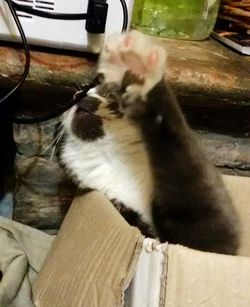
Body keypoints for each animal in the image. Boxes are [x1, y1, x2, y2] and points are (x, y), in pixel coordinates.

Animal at [60, 29, 240, 255]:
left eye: (105, 91)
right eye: (78, 92)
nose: (80, 96)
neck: (115, 157)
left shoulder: (213, 231)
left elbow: (180, 158)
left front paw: (132, 64)